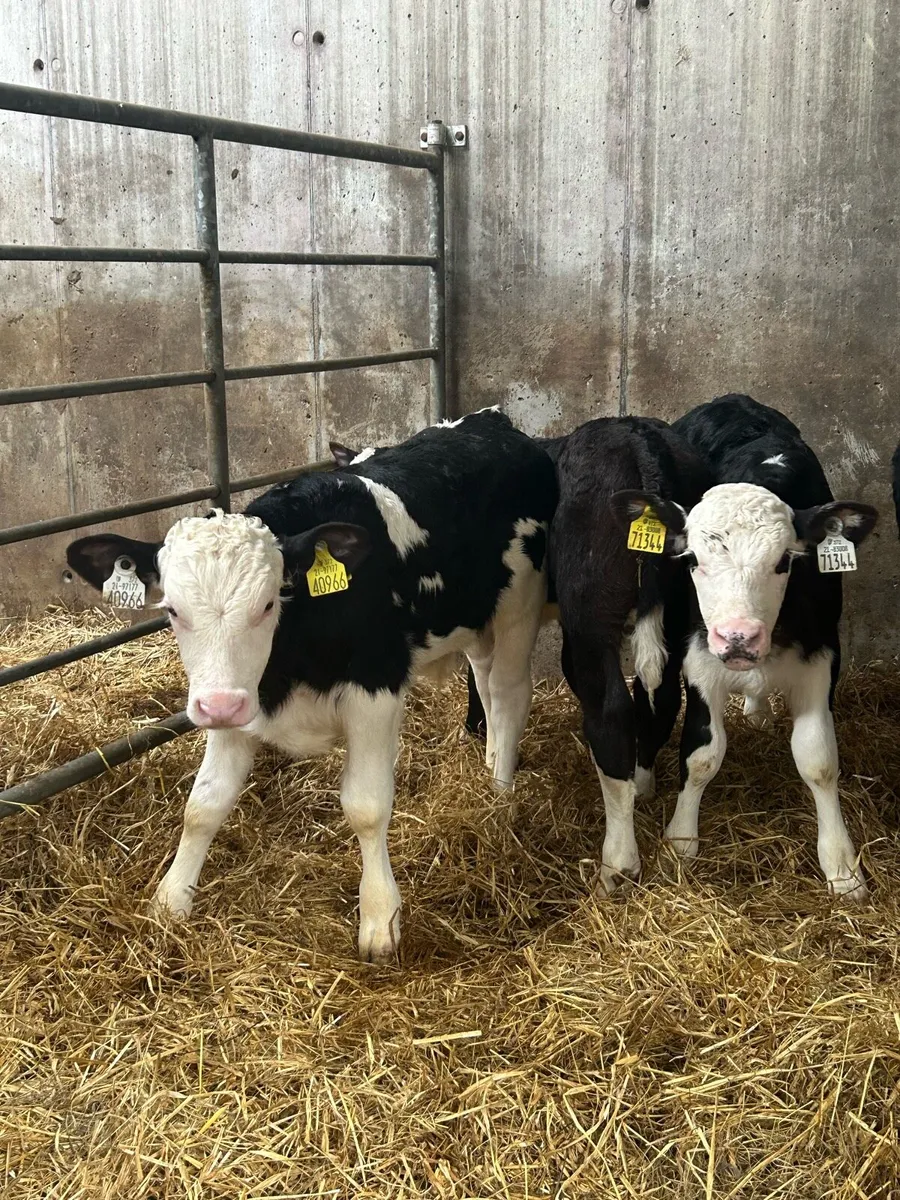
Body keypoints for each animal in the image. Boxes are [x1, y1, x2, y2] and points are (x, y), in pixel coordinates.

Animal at [66, 409, 558, 961]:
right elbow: (203, 805)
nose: (217, 706)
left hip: (521, 601)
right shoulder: (238, 697)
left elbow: (366, 806)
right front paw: (171, 902)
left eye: (267, 604)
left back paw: (499, 795)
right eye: (171, 609)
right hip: (472, 614)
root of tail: (489, 420)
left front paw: (379, 919)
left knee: (510, 692)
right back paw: (492, 766)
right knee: (486, 682)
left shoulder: (375, 686)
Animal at [621, 393, 877, 897]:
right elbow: (701, 754)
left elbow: (818, 759)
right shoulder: (701, 658)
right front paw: (680, 839)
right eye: (693, 559)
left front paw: (841, 865)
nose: (738, 635)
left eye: (784, 562)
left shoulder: (822, 657)